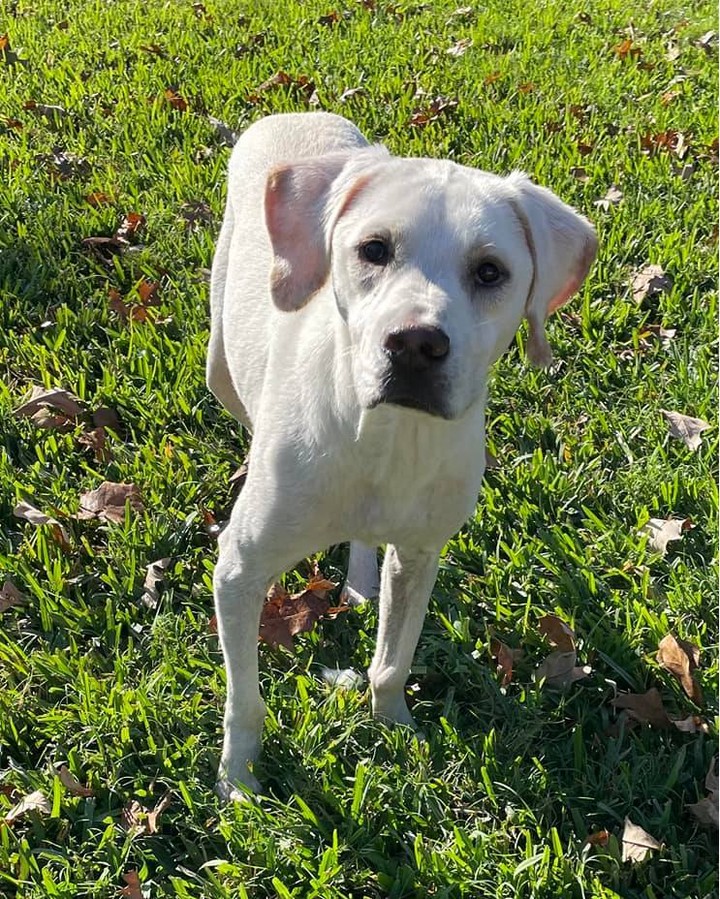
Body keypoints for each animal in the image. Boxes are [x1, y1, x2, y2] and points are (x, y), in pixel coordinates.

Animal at [207, 114, 596, 800]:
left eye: (489, 272)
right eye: (374, 250)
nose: (416, 344)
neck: (388, 439)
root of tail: (294, 115)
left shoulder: (420, 554)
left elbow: (394, 660)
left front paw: (394, 728)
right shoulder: (239, 572)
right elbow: (245, 700)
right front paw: (241, 778)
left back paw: (361, 583)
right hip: (219, 361)